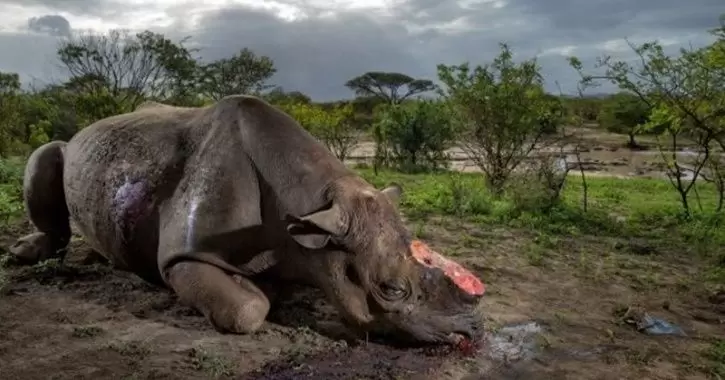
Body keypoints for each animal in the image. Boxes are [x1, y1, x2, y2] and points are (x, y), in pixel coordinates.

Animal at [8, 94, 484, 344]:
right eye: (391, 290)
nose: (472, 333)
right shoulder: (184, 256)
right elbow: (248, 310)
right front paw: (257, 294)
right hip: (75, 150)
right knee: (48, 153)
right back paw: (24, 253)